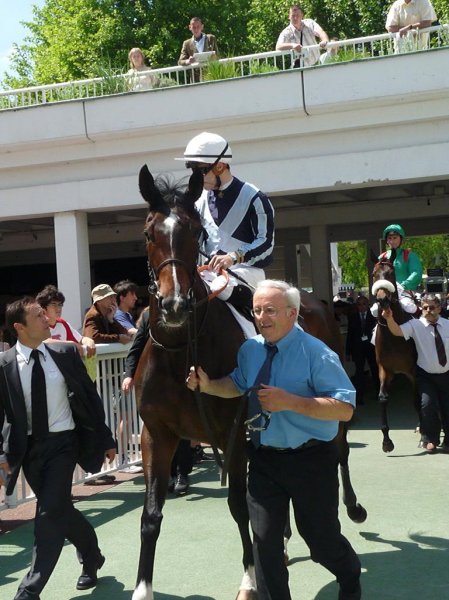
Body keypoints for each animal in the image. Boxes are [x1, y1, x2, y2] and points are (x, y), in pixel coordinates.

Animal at [131, 165, 366, 600]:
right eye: (149, 232)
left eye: (195, 232)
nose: (174, 305)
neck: (181, 352)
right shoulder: (156, 434)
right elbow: (151, 515)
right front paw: (142, 590)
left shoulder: (234, 434)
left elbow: (240, 506)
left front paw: (250, 579)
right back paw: (286, 540)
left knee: (339, 450)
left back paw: (353, 508)